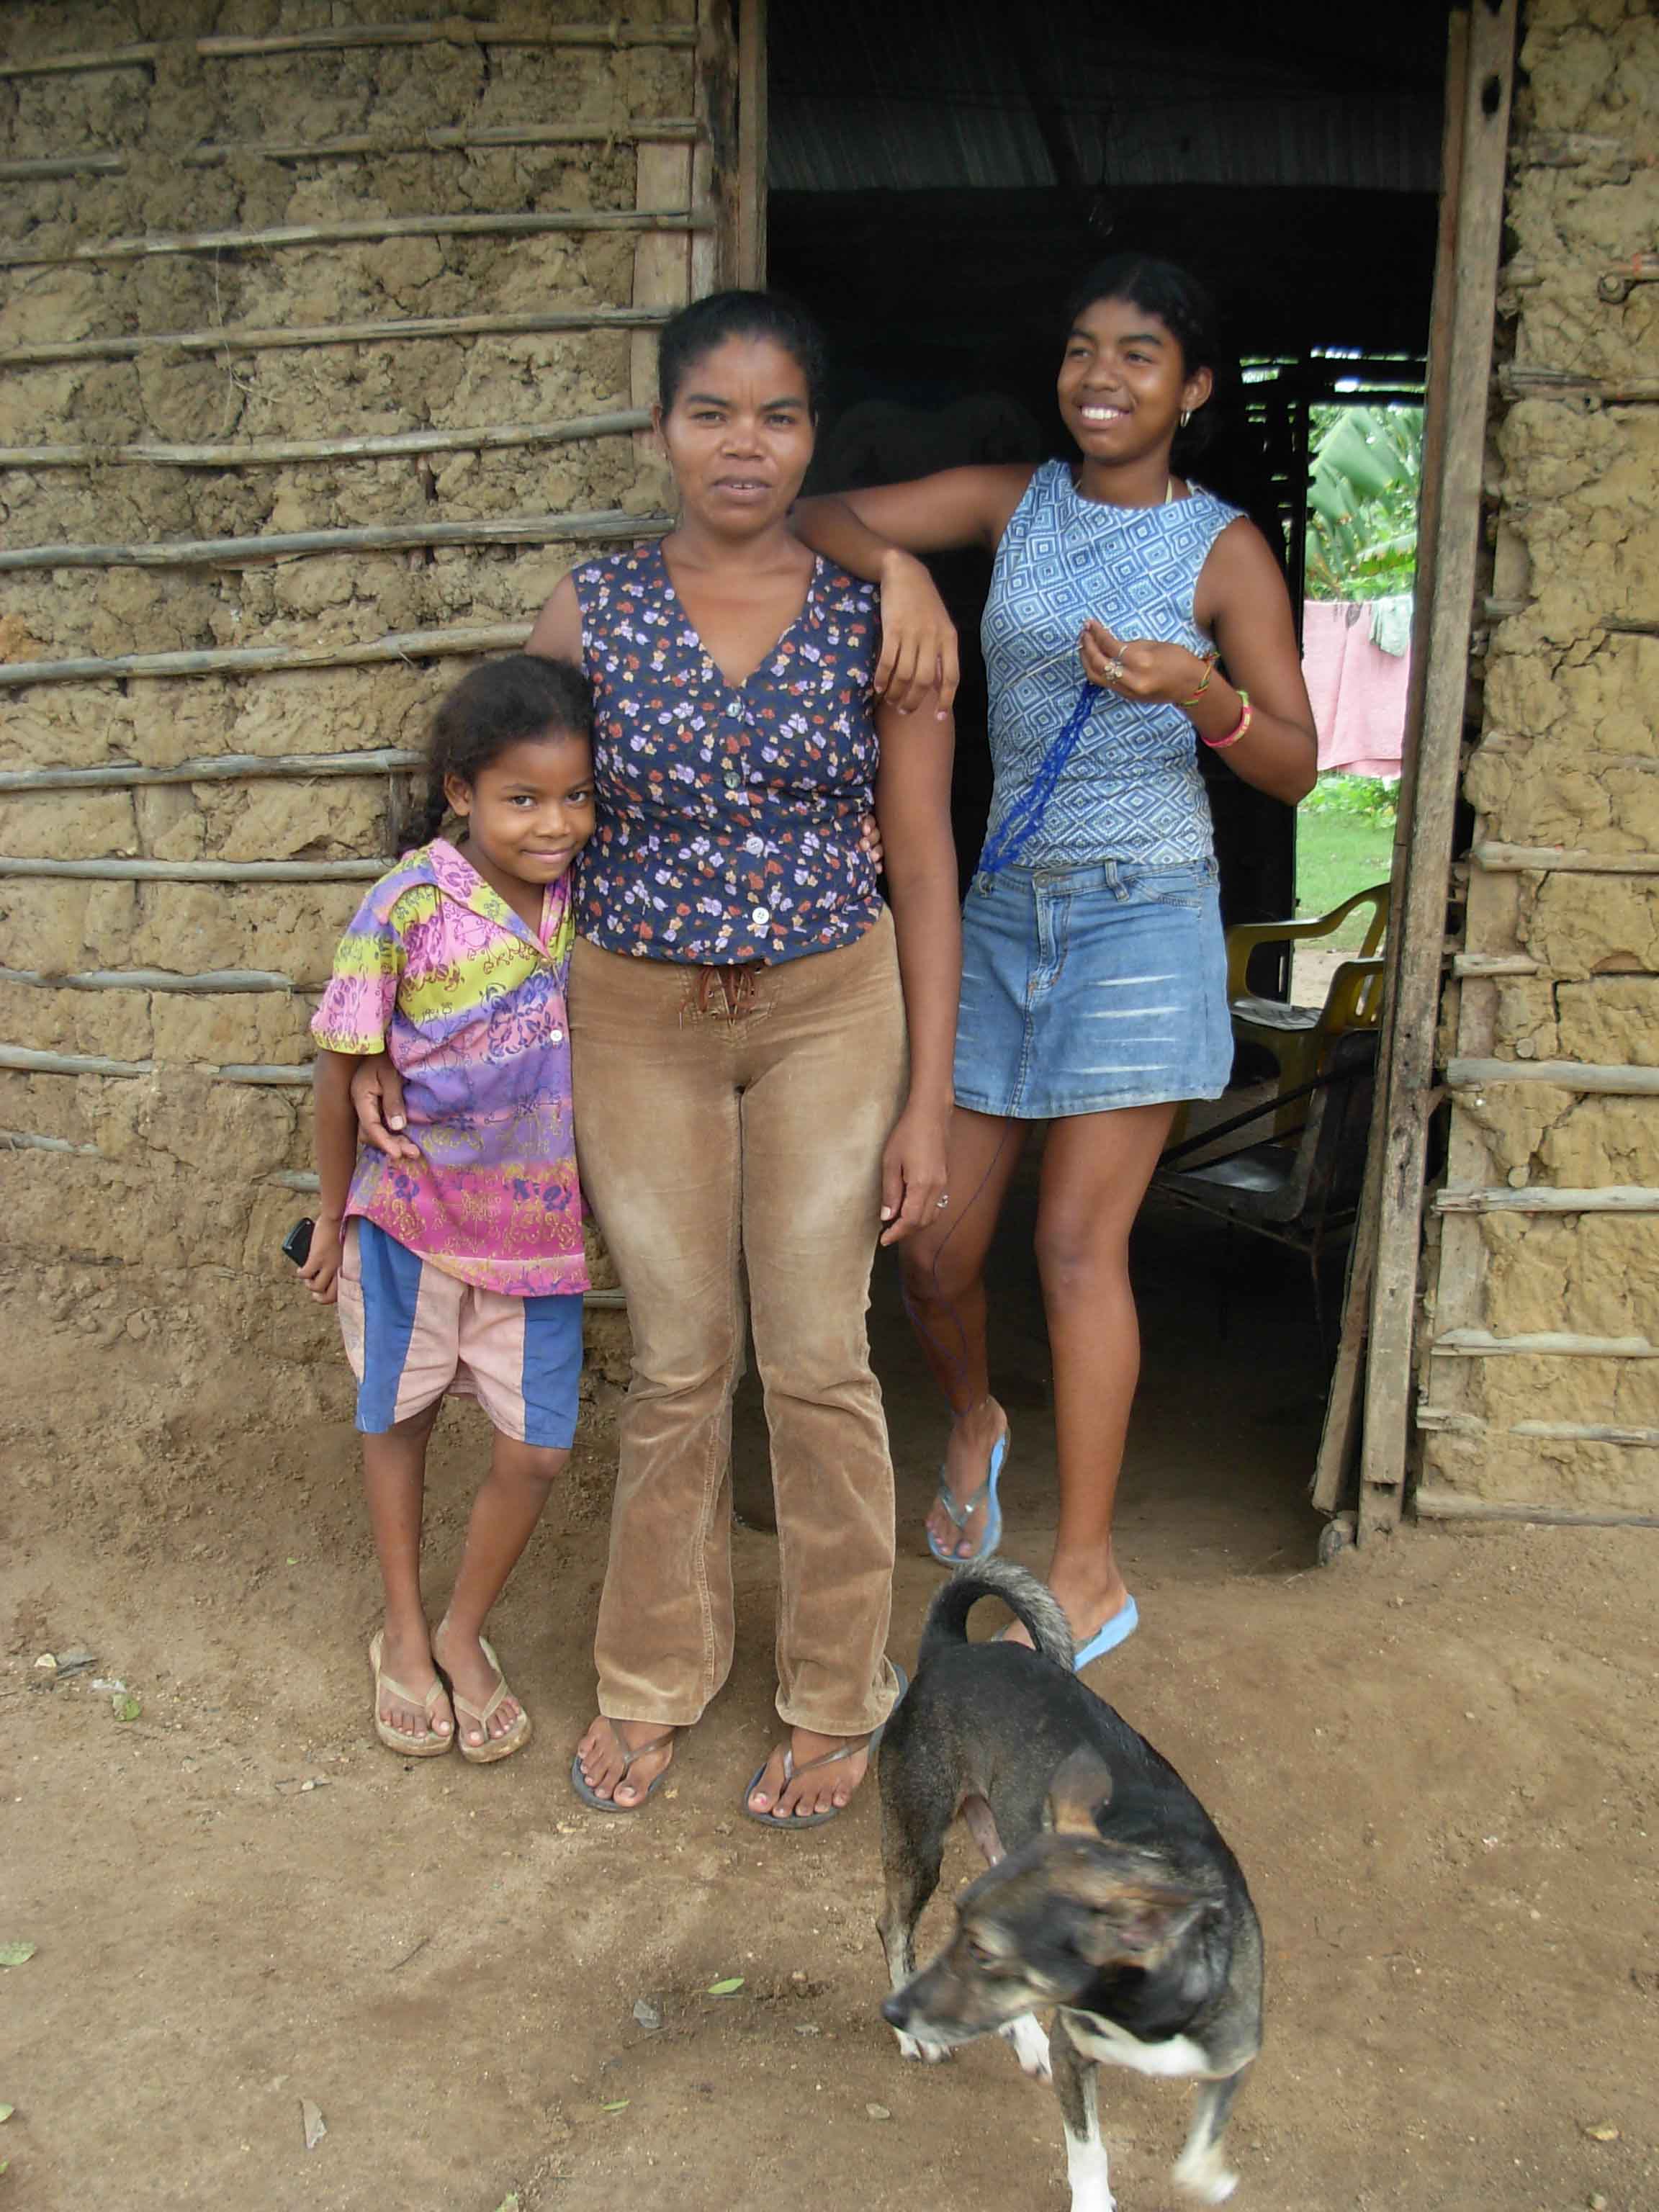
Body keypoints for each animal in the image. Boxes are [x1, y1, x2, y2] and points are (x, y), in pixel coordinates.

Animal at [884, 1565, 1256, 2203]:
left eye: (985, 1952)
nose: (894, 2013)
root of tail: (949, 1647)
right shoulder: (1074, 2052)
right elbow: (1088, 2148)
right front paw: (1093, 2201)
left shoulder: (1231, 2057)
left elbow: (1200, 2152)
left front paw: (1208, 2180)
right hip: (920, 1843)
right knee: (894, 1927)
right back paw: (933, 2036)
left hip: (996, 1841)